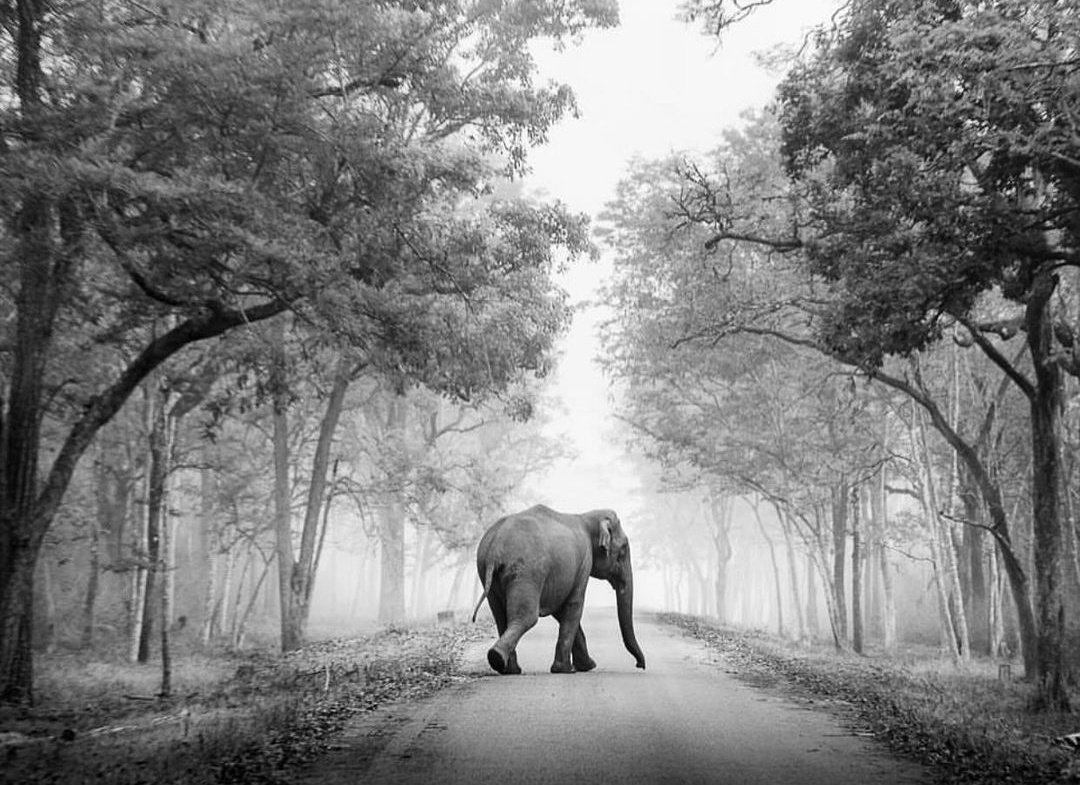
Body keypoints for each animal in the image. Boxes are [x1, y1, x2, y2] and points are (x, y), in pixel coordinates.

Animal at [470, 509, 639, 673]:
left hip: (487, 573)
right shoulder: (584, 561)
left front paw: (587, 666)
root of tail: (495, 546)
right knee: (526, 617)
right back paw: (498, 659)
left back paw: (509, 669)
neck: (585, 516)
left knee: (501, 617)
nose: (640, 665)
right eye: (624, 549)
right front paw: (566, 670)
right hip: (527, 572)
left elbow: (560, 609)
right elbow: (574, 605)